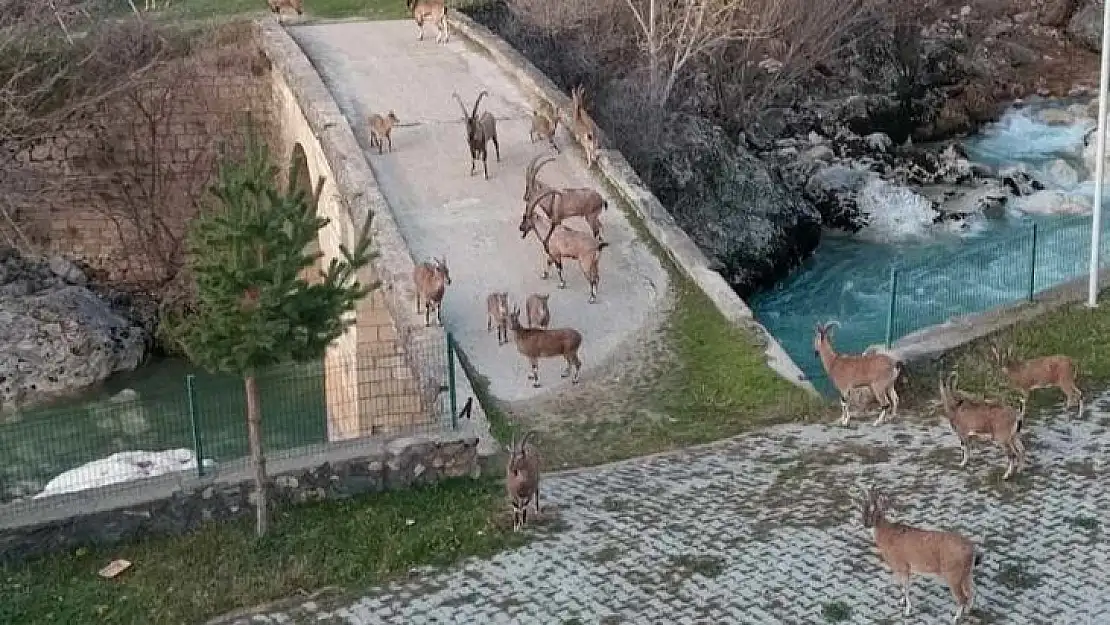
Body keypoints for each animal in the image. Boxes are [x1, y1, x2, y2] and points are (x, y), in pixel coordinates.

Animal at [856, 488, 981, 625]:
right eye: (863, 510)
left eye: (874, 511)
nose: (865, 524)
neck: (886, 536)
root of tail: (972, 551)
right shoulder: (901, 568)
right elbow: (902, 586)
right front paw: (901, 601)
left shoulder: (902, 565)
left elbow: (906, 587)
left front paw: (907, 611)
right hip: (967, 573)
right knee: (973, 591)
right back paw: (968, 611)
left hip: (953, 574)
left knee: (962, 597)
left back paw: (955, 618)